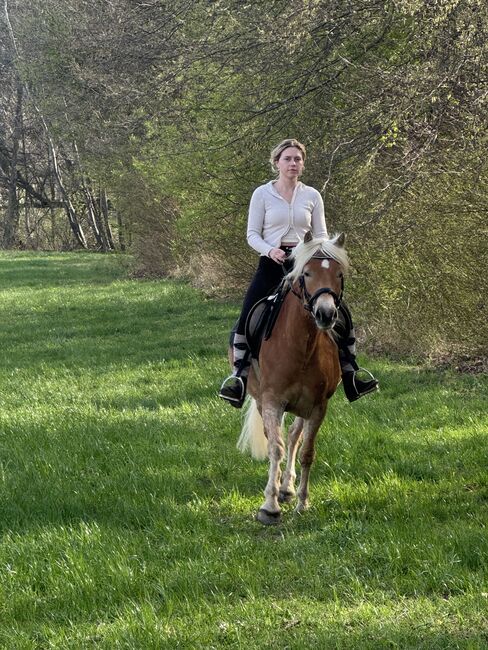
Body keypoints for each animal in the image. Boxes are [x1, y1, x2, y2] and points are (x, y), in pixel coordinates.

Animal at [236, 231, 350, 525]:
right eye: (306, 273)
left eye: (339, 274)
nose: (325, 314)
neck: (301, 346)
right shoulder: (272, 401)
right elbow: (274, 448)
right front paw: (269, 506)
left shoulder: (318, 406)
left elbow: (307, 451)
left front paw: (302, 502)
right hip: (262, 398)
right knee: (275, 438)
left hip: (301, 407)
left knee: (293, 436)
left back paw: (287, 488)